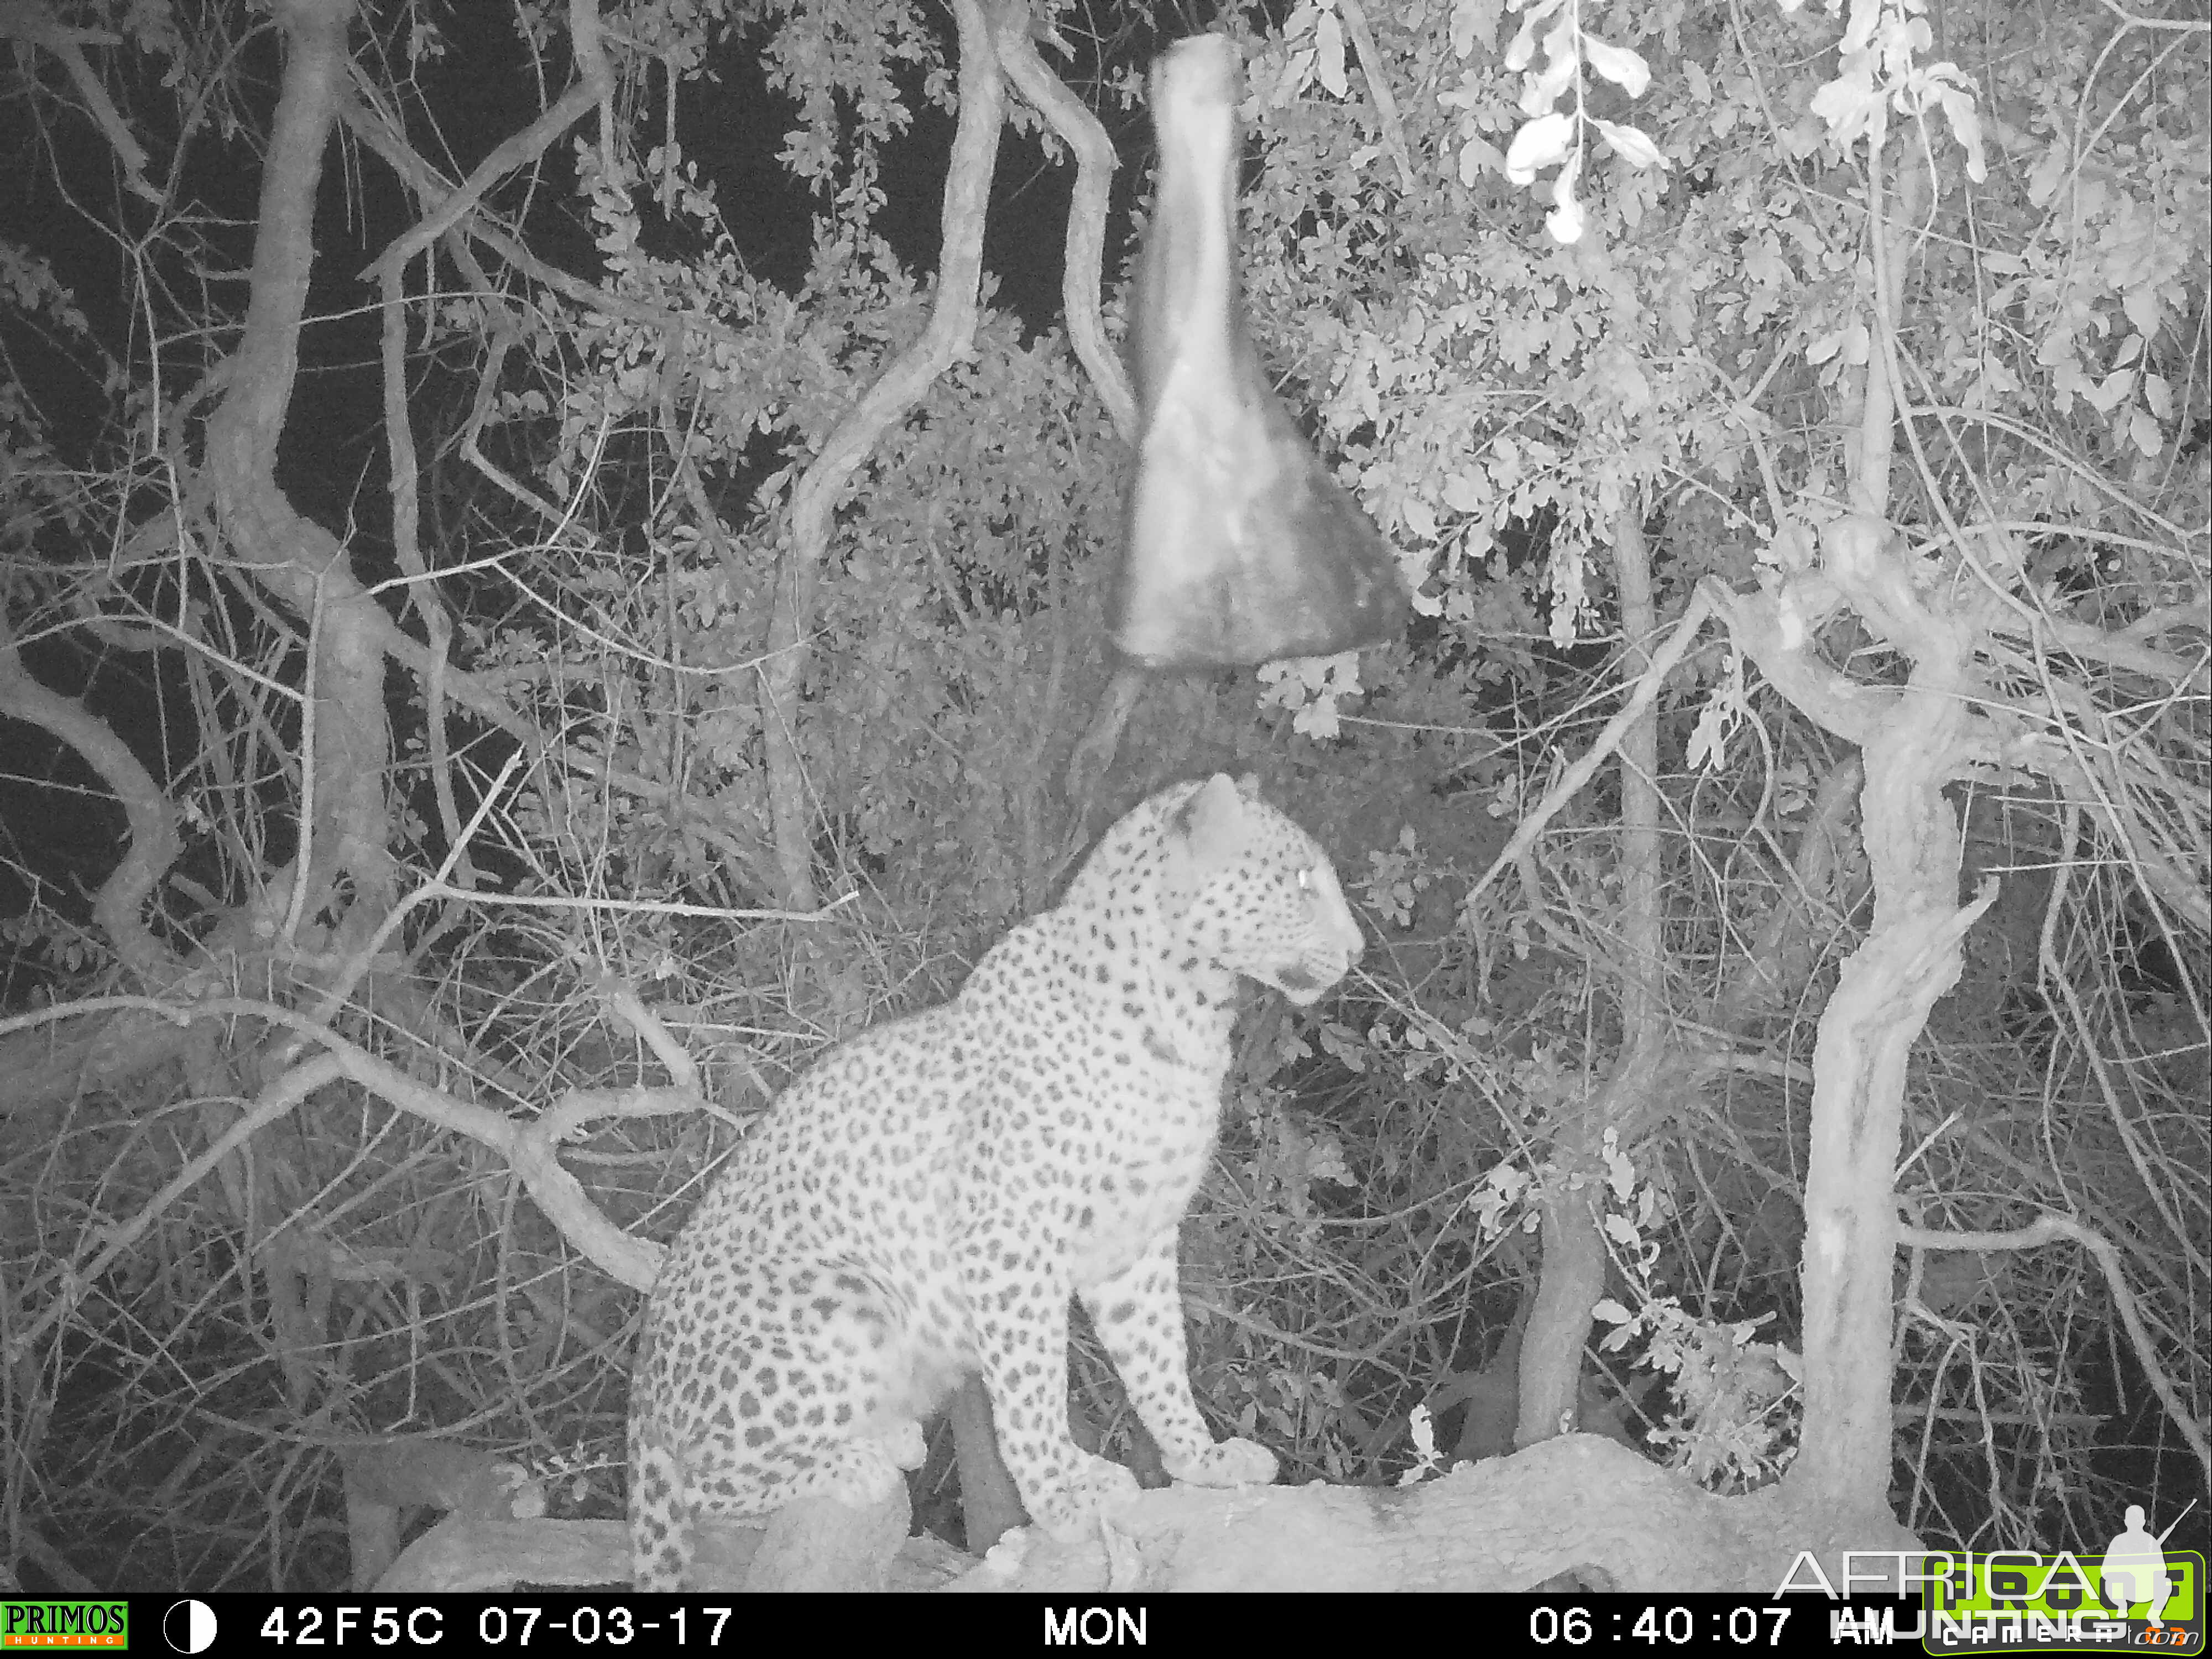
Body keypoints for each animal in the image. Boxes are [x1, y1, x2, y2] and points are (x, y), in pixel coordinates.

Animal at [624, 774, 1371, 1593]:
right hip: (848, 1301)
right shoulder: (1010, 1240)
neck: (1194, 1013)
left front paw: (1200, 1461)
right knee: (702, 1485)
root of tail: (641, 1394)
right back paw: (853, 1463)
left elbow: (1158, 1361)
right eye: (1299, 882)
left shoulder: (1133, 1244)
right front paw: (1063, 1495)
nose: (1357, 950)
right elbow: (1033, 1390)